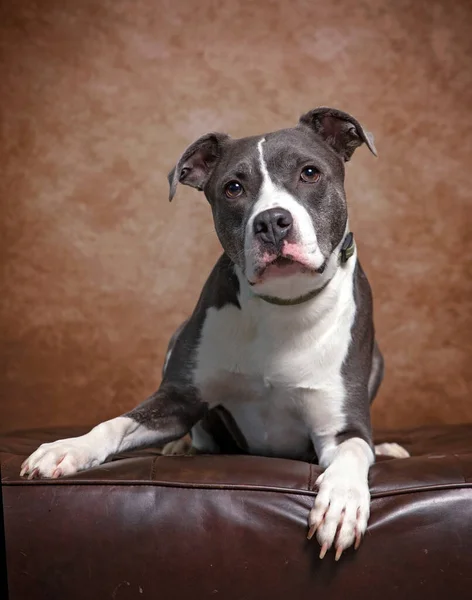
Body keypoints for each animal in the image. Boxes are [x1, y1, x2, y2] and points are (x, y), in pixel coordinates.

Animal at [22, 109, 408, 564]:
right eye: (233, 188)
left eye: (310, 173)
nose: (271, 222)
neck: (282, 306)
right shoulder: (178, 399)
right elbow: (115, 423)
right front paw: (68, 448)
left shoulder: (342, 427)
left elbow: (352, 452)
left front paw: (343, 501)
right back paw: (181, 448)